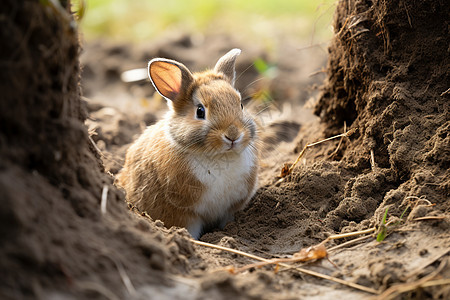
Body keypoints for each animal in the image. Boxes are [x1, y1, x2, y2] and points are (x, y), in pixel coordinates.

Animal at [116, 48, 260, 239]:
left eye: (241, 105)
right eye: (200, 111)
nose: (233, 135)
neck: (219, 156)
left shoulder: (229, 209)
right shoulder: (184, 214)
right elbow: (189, 229)